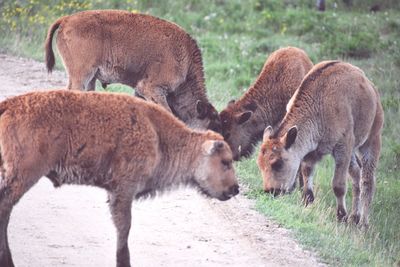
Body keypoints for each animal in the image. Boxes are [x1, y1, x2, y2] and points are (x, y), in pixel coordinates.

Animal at [0, 90, 239, 267]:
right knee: (5, 209)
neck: (158, 136)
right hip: (24, 175)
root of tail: (9, 105)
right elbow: (124, 229)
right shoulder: (123, 190)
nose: (236, 189)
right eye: (225, 161)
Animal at [46, 10, 222, 132]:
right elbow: (167, 112)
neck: (185, 58)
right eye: (211, 125)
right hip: (81, 75)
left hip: (90, 78)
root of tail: (66, 19)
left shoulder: (141, 90)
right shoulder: (151, 88)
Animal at [258, 60, 382, 228]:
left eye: (277, 163)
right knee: (356, 172)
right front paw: (308, 203)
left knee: (367, 181)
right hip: (353, 152)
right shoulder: (312, 151)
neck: (319, 102)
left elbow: (338, 185)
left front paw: (341, 216)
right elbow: (307, 174)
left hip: (371, 140)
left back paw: (363, 223)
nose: (270, 191)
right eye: (260, 164)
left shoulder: (343, 147)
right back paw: (355, 217)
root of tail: (371, 87)